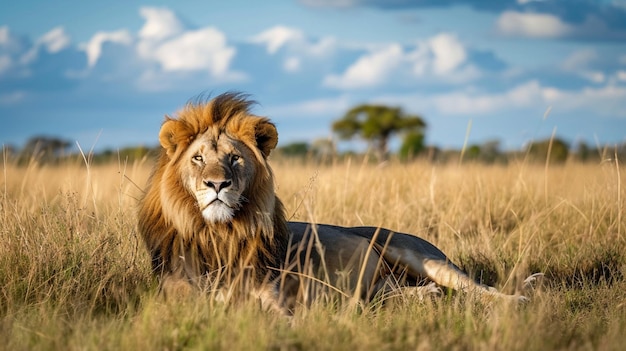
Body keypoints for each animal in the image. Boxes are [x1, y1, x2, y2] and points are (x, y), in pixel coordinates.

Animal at [136, 92, 528, 314]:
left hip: (420, 255)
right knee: (388, 296)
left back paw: (515, 302)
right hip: (381, 285)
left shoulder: (274, 295)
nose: (217, 184)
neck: (218, 233)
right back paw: (425, 297)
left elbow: (272, 314)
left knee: (480, 288)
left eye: (234, 159)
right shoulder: (176, 294)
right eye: (198, 159)